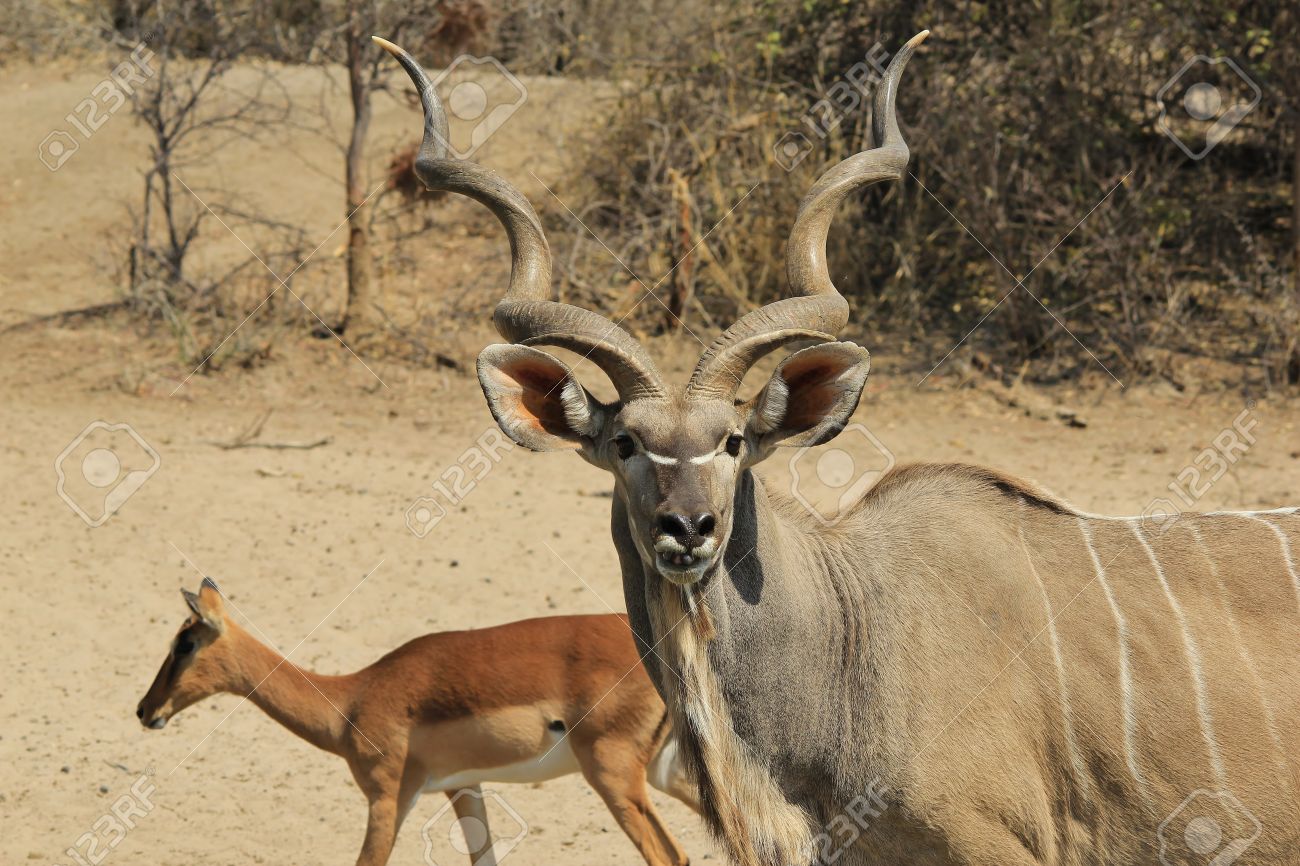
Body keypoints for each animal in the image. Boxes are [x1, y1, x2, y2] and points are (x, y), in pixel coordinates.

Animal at [136, 579, 698, 866]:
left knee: (672, 857)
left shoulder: (387, 798)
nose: (145, 710)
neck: (352, 700)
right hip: (664, 772)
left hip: (613, 776)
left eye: (184, 643)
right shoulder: (464, 788)